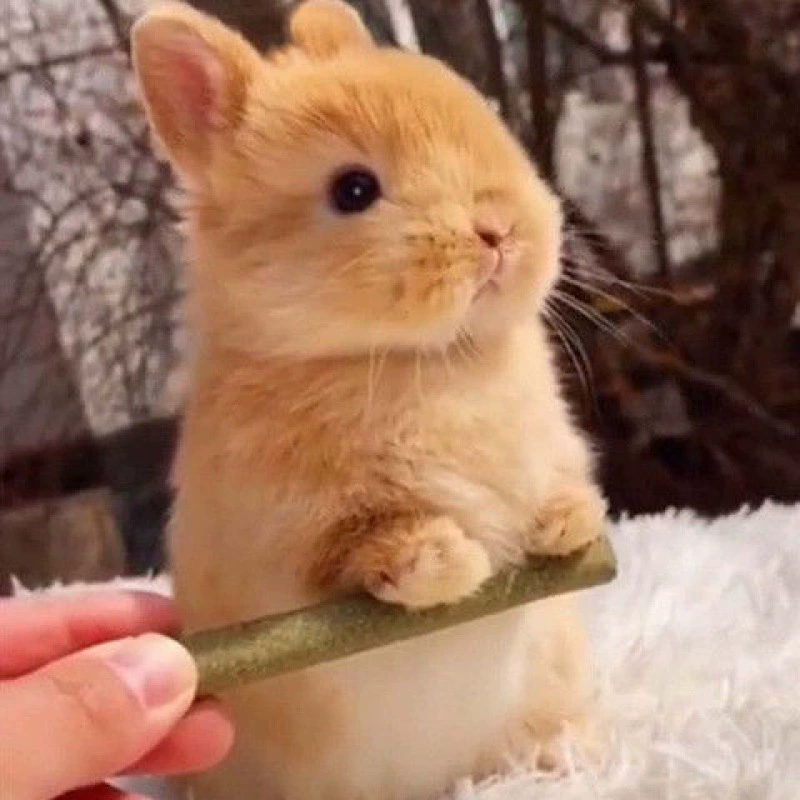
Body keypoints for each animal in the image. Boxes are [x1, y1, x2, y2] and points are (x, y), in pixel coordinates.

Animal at [131, 2, 607, 798]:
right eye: (353, 189)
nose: (499, 232)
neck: (431, 361)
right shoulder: (287, 537)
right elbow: (360, 549)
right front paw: (447, 560)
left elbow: (558, 485)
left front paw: (568, 519)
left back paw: (569, 753)